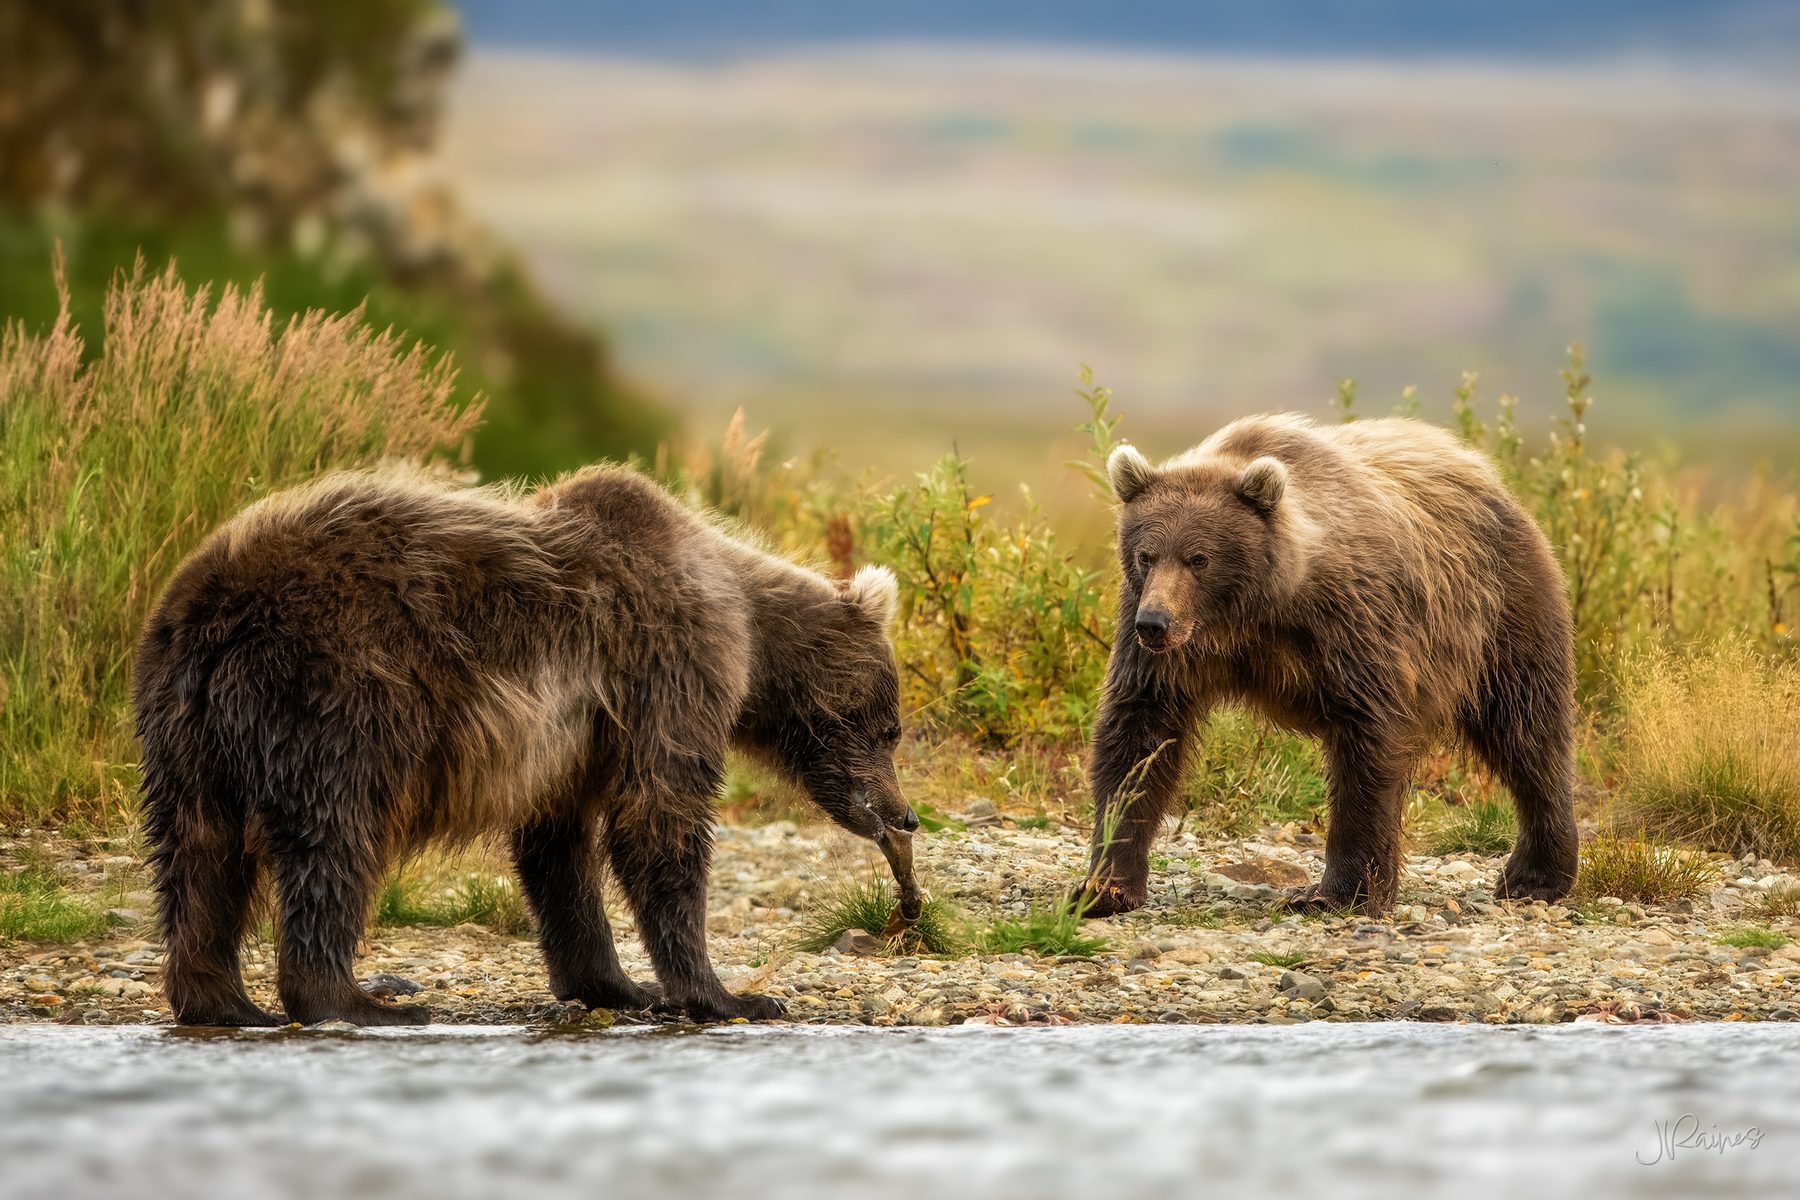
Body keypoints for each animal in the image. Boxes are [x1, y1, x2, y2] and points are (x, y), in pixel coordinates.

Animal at [134, 464, 914, 1026]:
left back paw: (226, 1003)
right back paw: (362, 1002)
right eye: (890, 727)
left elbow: (558, 850)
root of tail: (214, 601)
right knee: (333, 837)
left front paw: (615, 984)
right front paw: (728, 995)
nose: (904, 815)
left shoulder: (576, 740)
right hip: (337, 691)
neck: (752, 633)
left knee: (199, 855)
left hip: (183, 724)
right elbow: (658, 818)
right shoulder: (671, 661)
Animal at [1078, 413, 1579, 917]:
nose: (1155, 623)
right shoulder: (1162, 652)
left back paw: (1535, 875)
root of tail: (1489, 478)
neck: (1255, 612)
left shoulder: (1352, 625)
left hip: (1501, 613)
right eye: (1146, 555)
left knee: (1526, 730)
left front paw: (1335, 891)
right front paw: (1106, 887)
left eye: (1199, 558)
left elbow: (1367, 744)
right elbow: (1139, 740)